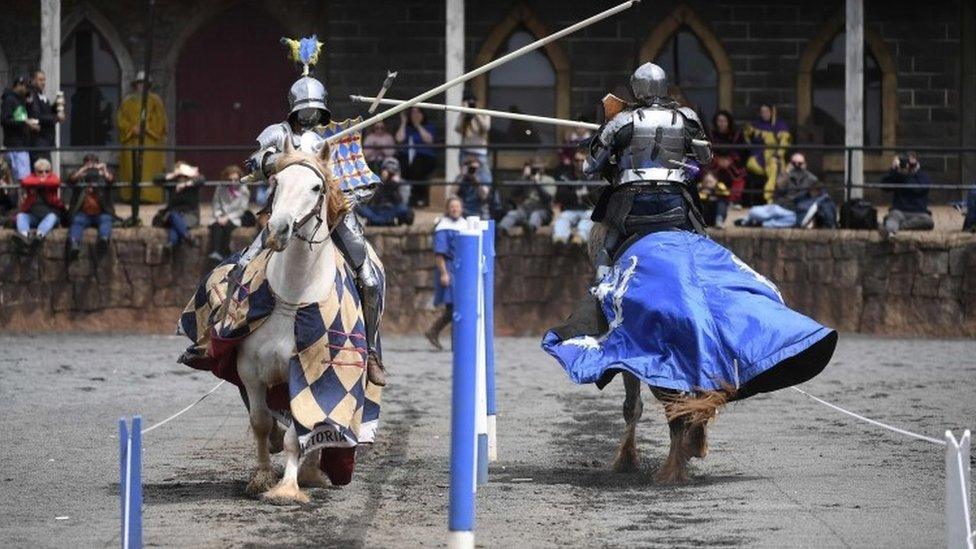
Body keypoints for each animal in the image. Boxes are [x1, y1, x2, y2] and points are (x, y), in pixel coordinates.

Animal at [235, 139, 348, 504]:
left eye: (315, 187)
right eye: (277, 183)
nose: (278, 230)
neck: (294, 297)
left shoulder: (310, 377)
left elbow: (297, 434)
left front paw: (286, 488)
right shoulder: (249, 370)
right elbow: (260, 421)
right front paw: (261, 477)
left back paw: (311, 472)